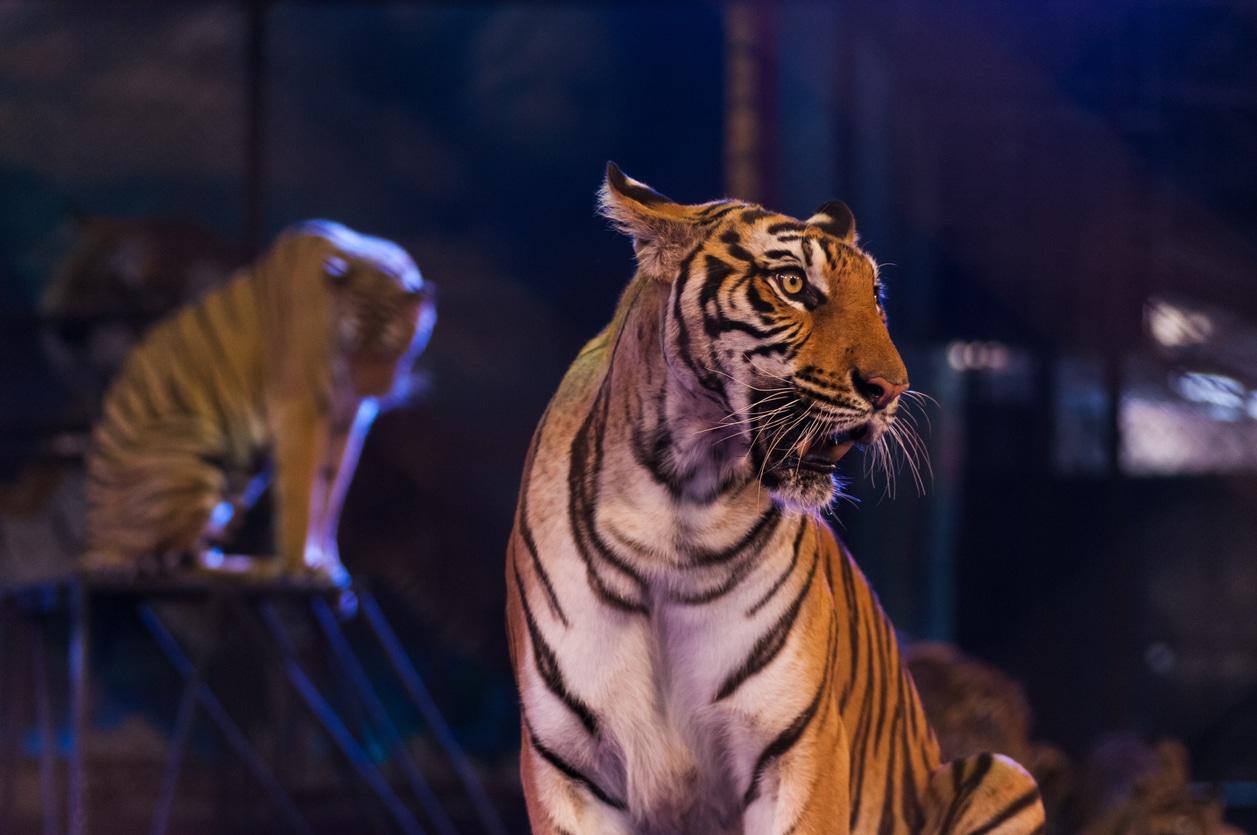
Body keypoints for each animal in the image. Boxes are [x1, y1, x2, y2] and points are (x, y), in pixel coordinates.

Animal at [82, 220, 436, 586]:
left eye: (390, 346)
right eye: (350, 345)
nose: (369, 389)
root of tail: (93, 545)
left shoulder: (347, 418)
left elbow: (332, 492)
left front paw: (329, 565)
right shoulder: (301, 406)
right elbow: (302, 491)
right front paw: (301, 566)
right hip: (191, 446)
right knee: (171, 562)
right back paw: (261, 568)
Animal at [505, 164, 1045, 834]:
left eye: (876, 299)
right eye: (792, 283)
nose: (893, 388)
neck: (678, 505)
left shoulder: (797, 749)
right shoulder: (566, 768)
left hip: (1005, 772)